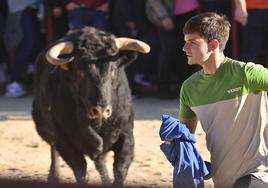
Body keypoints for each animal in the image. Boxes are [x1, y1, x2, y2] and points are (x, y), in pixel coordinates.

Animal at [32, 26, 150, 187]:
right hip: (43, 126)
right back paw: (54, 176)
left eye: (113, 69)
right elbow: (80, 169)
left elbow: (120, 167)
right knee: (54, 147)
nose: (101, 110)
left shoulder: (126, 134)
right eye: (80, 71)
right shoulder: (65, 140)